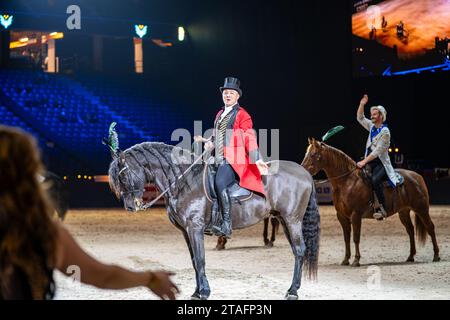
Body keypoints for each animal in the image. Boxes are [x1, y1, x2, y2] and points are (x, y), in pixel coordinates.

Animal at [298, 138, 440, 264]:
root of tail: (418, 176)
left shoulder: (356, 215)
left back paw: (436, 255)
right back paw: (410, 256)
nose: (302, 170)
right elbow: (346, 238)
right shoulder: (342, 216)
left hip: (422, 209)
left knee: (430, 227)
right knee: (410, 230)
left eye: (313, 154)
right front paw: (345, 259)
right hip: (404, 211)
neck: (347, 182)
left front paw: (356, 260)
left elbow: (356, 237)